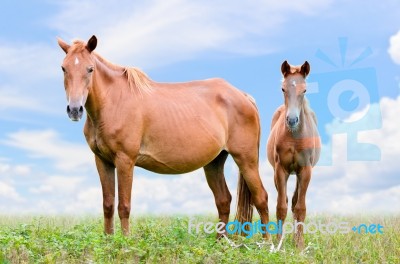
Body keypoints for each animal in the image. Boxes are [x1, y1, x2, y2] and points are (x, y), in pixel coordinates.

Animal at [57, 35, 268, 237]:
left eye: (90, 69)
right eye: (64, 68)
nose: (74, 110)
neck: (113, 102)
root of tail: (244, 96)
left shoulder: (125, 160)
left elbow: (124, 206)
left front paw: (124, 243)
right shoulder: (102, 161)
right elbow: (108, 206)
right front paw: (109, 242)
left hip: (246, 159)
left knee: (261, 199)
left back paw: (268, 243)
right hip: (214, 162)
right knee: (223, 200)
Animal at [268, 60, 320, 249]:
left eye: (304, 90)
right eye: (283, 88)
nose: (291, 120)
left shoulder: (305, 171)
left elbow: (300, 208)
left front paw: (300, 245)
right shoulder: (280, 170)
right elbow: (280, 207)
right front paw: (278, 243)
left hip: (298, 174)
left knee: (295, 202)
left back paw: (295, 239)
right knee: (286, 201)